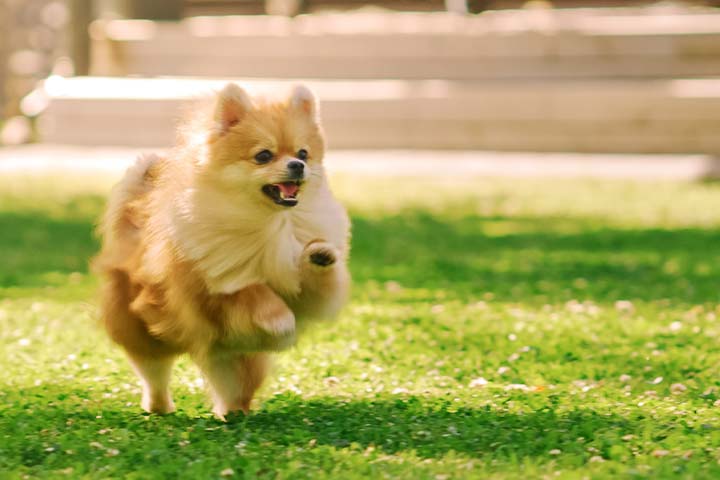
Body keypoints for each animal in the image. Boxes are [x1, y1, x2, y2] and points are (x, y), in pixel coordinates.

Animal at [93, 84, 352, 418]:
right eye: (263, 155)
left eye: (303, 153)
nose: (297, 165)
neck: (271, 223)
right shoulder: (208, 294)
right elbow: (251, 292)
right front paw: (281, 322)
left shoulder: (303, 295)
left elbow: (316, 286)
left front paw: (319, 255)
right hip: (146, 331)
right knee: (154, 371)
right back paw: (159, 406)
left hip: (235, 359)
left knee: (233, 386)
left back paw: (232, 411)